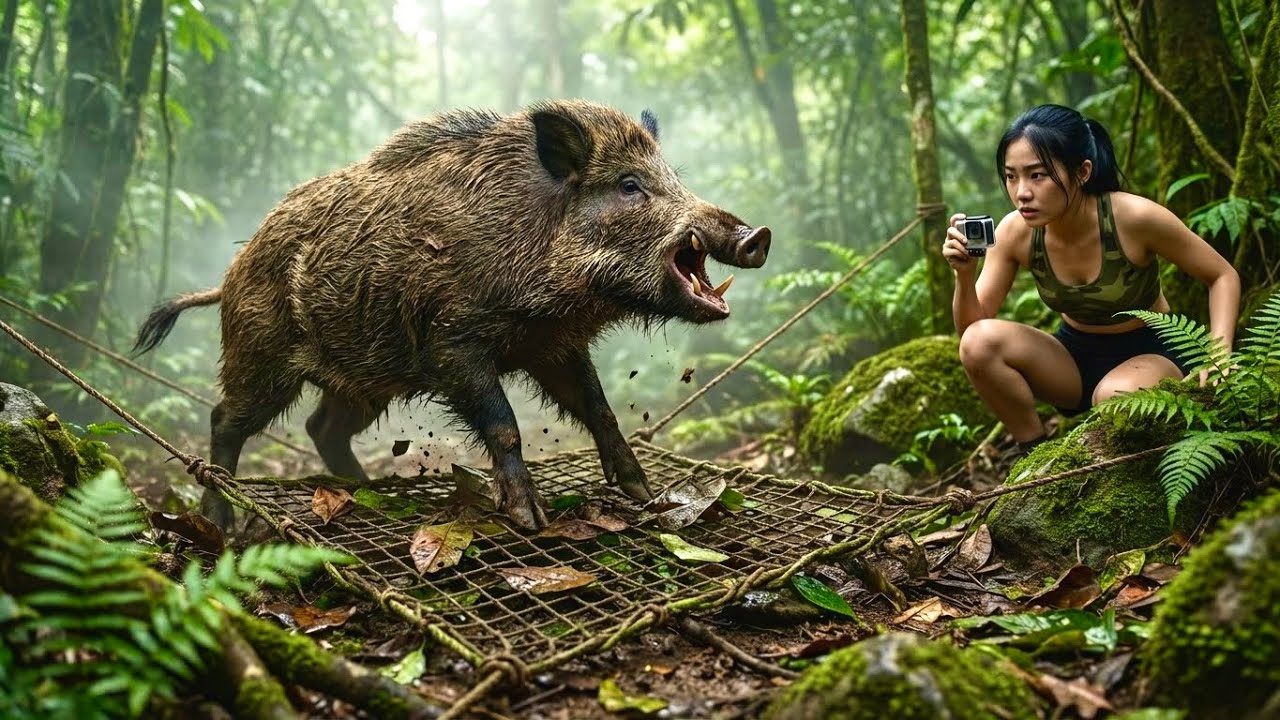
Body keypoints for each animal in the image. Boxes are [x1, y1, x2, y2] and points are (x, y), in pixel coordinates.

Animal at [134, 100, 770, 531]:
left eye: (674, 178)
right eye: (630, 184)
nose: (756, 235)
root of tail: (228, 276)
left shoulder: (553, 346)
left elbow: (600, 408)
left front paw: (643, 493)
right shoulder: (452, 344)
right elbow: (504, 424)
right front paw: (530, 518)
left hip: (362, 379)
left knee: (321, 428)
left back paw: (367, 491)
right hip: (260, 354)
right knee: (225, 420)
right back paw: (218, 518)